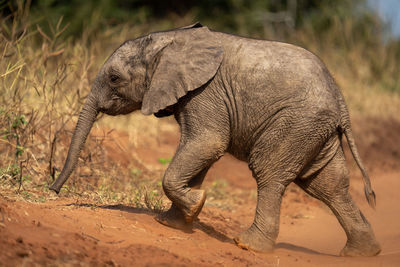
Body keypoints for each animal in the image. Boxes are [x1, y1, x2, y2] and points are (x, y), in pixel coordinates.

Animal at [50, 23, 382, 258]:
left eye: (115, 78)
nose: (52, 189)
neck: (171, 39)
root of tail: (340, 100)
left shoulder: (206, 92)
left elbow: (207, 142)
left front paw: (195, 206)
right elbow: (197, 150)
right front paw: (172, 222)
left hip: (296, 123)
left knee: (270, 173)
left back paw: (248, 245)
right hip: (315, 130)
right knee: (327, 185)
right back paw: (361, 253)